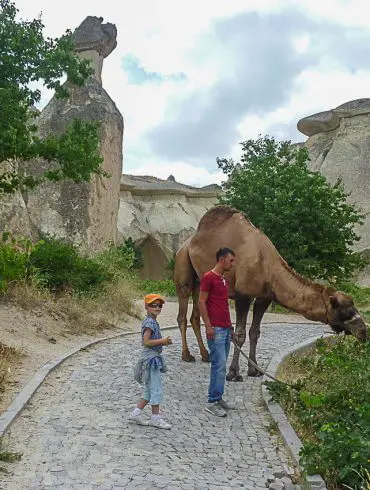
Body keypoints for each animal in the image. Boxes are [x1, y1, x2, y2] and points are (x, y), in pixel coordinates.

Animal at [175, 205, 368, 380]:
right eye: (345, 311)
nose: (364, 332)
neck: (267, 266)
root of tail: (187, 243)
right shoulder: (243, 294)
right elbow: (239, 334)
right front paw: (233, 373)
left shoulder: (264, 298)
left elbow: (255, 332)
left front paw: (254, 370)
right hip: (183, 263)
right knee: (182, 311)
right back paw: (187, 355)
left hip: (200, 280)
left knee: (195, 314)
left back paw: (206, 355)